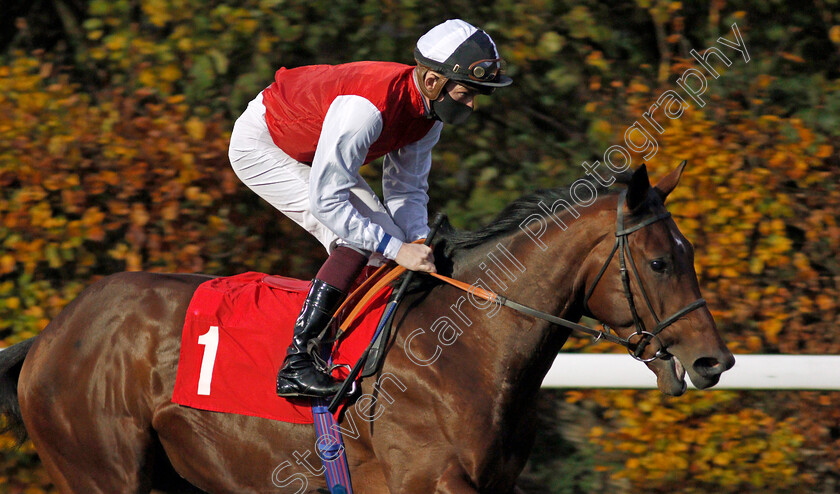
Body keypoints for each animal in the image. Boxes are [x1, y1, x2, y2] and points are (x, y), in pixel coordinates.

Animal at [0, 164, 736, 492]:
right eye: (660, 260)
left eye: (690, 254)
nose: (713, 362)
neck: (466, 351)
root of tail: (51, 335)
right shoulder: (429, 482)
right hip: (101, 471)